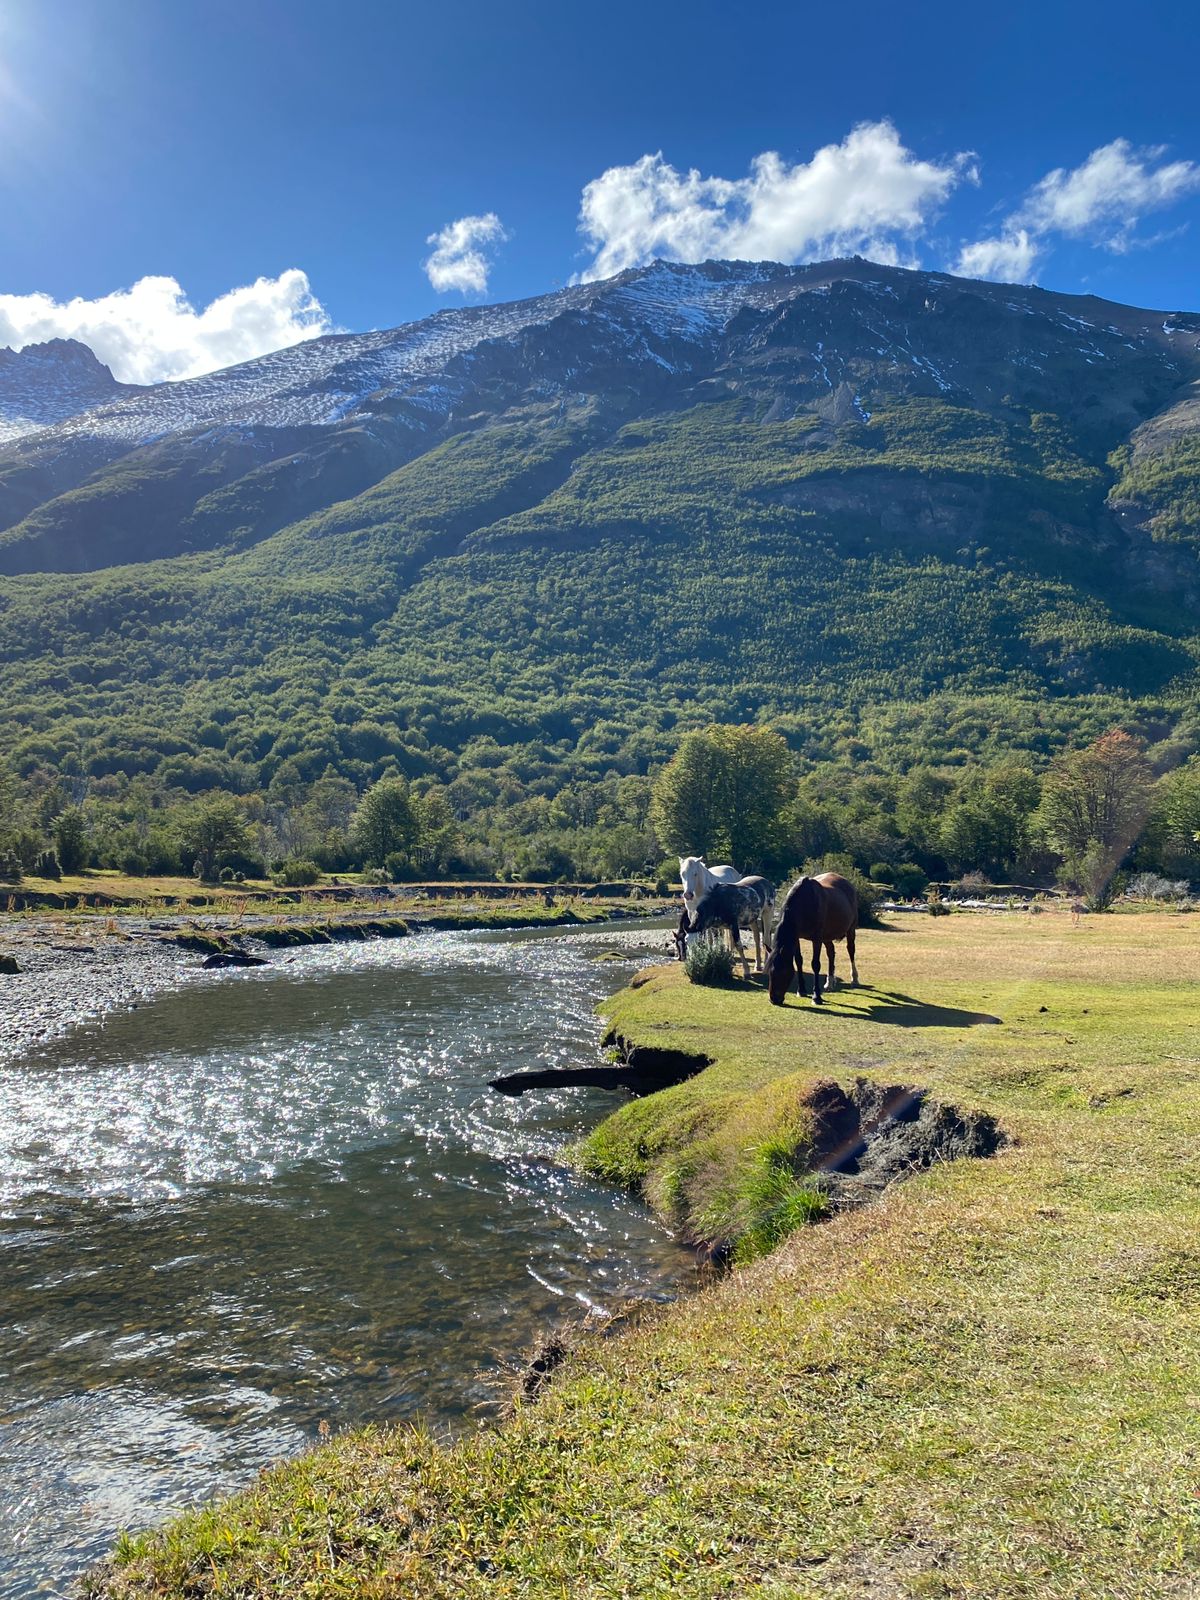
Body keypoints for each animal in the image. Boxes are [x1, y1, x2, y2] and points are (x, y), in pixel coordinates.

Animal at [765, 873, 859, 1006]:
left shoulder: (817, 939)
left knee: (851, 950)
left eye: (782, 972)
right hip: (827, 936)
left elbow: (815, 964)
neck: (804, 904)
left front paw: (816, 996)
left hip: (850, 930)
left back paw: (854, 979)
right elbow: (798, 960)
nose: (773, 999)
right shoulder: (796, 937)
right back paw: (829, 983)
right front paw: (801, 990)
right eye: (769, 972)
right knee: (831, 952)